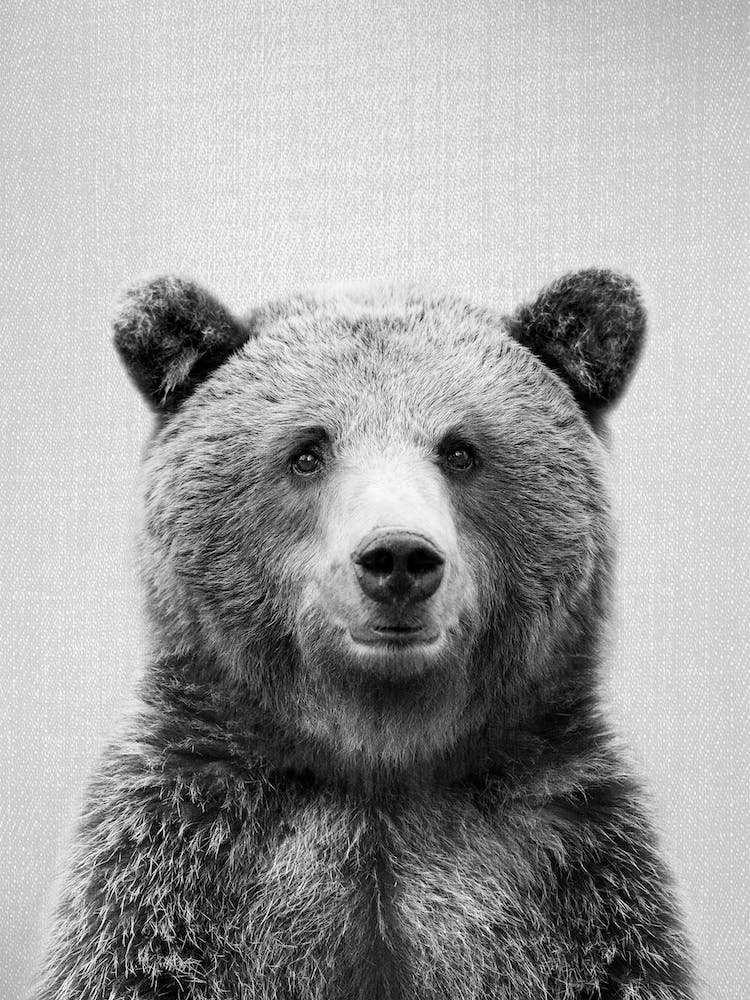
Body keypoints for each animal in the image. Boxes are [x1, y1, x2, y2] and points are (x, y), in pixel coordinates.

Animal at [33, 270, 695, 1000]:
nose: (398, 557)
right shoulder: (177, 874)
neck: (379, 762)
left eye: (461, 450)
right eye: (307, 451)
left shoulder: (571, 883)